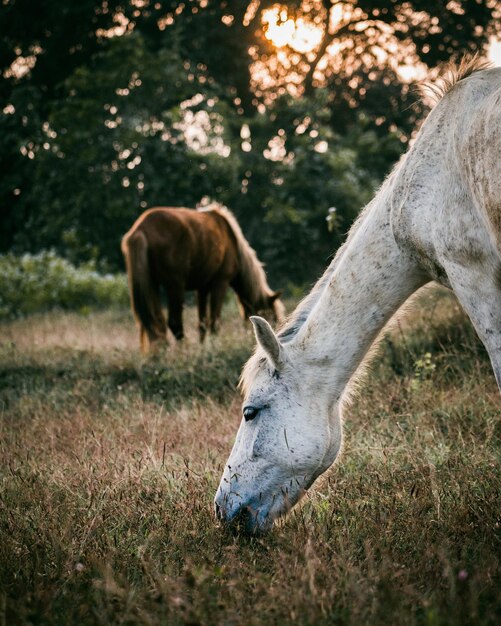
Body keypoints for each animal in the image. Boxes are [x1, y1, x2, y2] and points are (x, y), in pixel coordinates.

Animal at [120, 205, 284, 352]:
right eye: (271, 318)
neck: (233, 242)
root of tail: (141, 229)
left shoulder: (202, 288)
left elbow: (202, 322)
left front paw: (203, 346)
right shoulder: (220, 283)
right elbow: (214, 320)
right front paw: (214, 346)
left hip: (152, 286)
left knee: (156, 323)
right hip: (175, 285)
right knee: (174, 322)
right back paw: (183, 351)